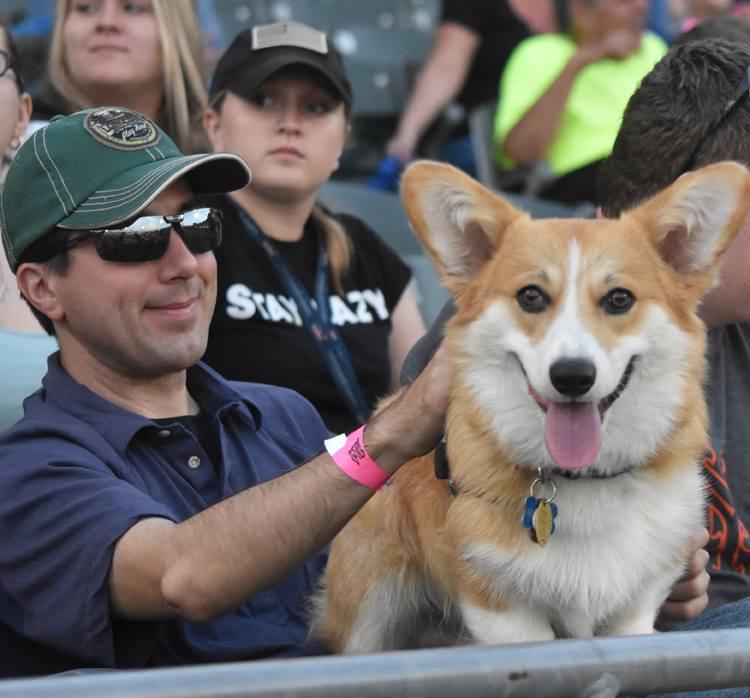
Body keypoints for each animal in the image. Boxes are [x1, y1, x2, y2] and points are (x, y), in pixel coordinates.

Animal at [312, 160, 750, 648]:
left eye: (619, 298)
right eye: (531, 296)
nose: (573, 376)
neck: (584, 481)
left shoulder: (633, 613)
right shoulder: (504, 613)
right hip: (369, 614)